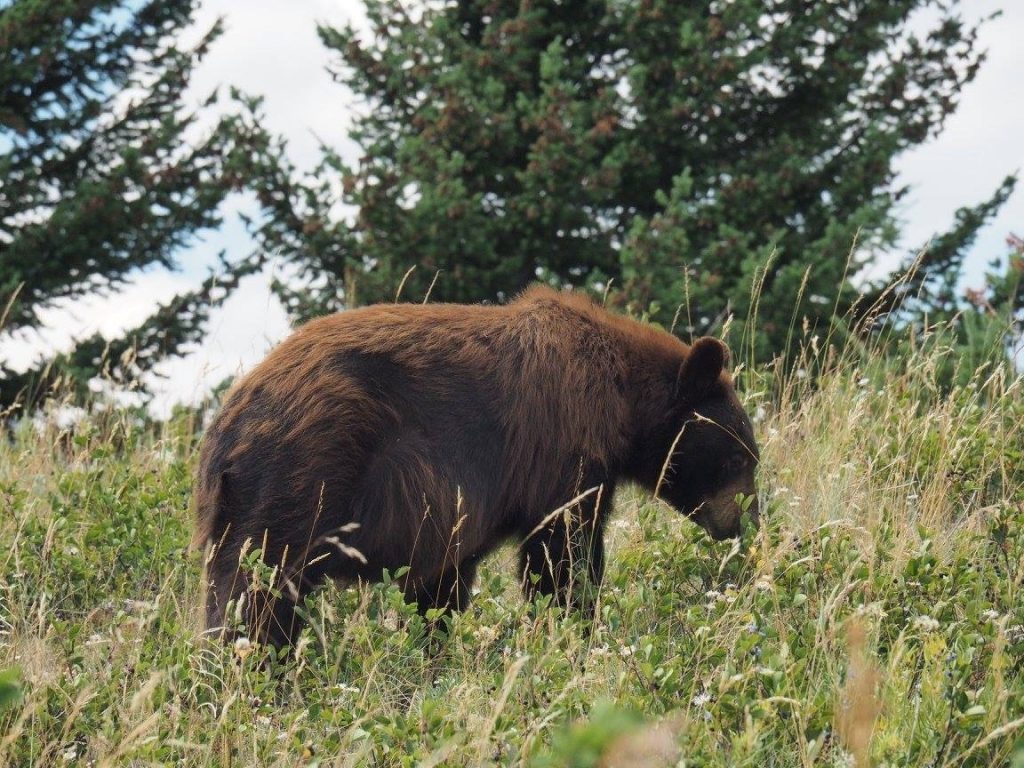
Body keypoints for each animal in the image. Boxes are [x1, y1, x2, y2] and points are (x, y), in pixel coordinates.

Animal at [192, 286, 759, 645]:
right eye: (738, 456)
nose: (743, 524)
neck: (620, 398)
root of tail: (225, 428)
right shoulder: (559, 449)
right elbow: (563, 552)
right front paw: (574, 624)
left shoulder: (449, 511)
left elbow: (439, 583)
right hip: (298, 479)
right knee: (259, 588)